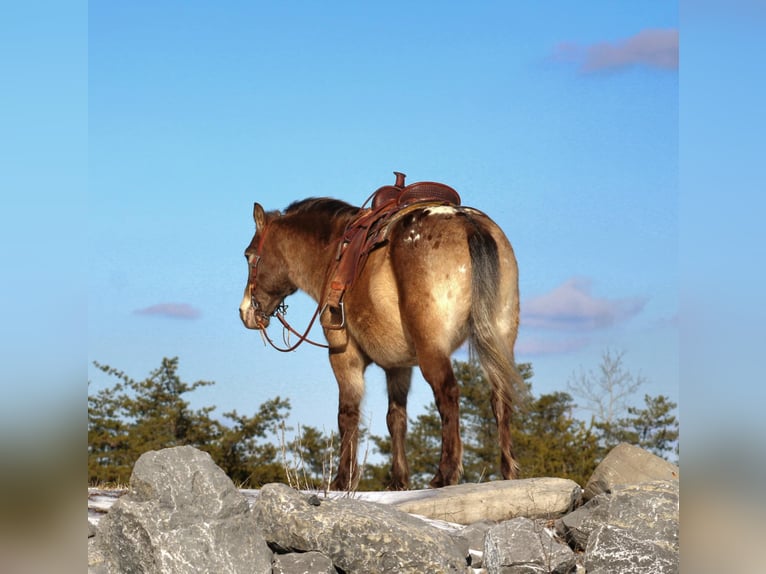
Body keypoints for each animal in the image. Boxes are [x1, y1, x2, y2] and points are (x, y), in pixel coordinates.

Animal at [240, 173, 524, 492]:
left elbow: (347, 414)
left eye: (249, 256)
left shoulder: (344, 355)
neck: (334, 255)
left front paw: (343, 479)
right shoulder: (398, 367)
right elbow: (396, 418)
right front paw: (398, 480)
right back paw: (508, 471)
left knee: (448, 393)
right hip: (499, 337)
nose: (245, 311)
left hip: (432, 348)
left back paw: (446, 473)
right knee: (500, 396)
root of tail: (468, 224)